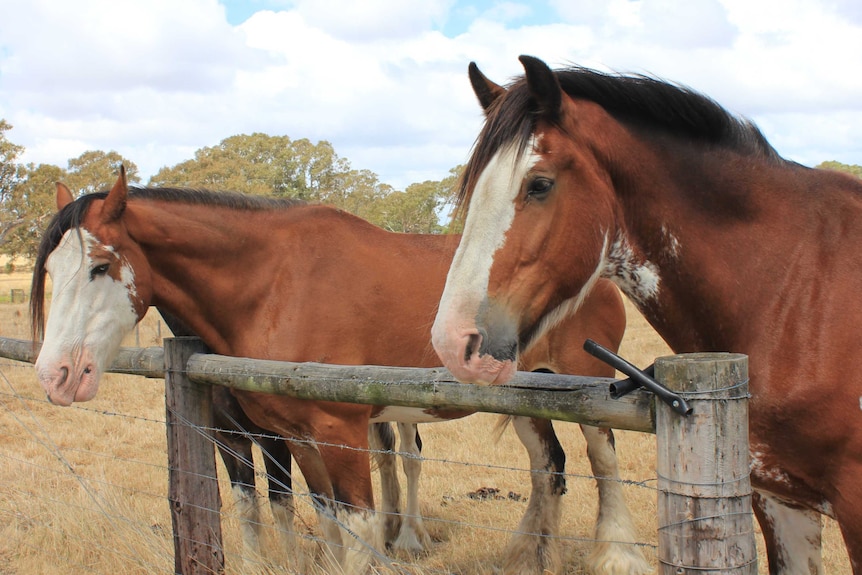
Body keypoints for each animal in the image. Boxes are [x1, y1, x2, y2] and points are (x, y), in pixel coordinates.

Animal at [30, 176, 652, 575]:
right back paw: (529, 559)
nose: (56, 374)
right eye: (54, 269)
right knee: (549, 469)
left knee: (603, 462)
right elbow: (321, 517)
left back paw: (615, 557)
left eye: (100, 265)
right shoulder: (297, 437)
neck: (276, 284)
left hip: (586, 386)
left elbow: (357, 529)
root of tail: (598, 272)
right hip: (527, 397)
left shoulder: (339, 432)